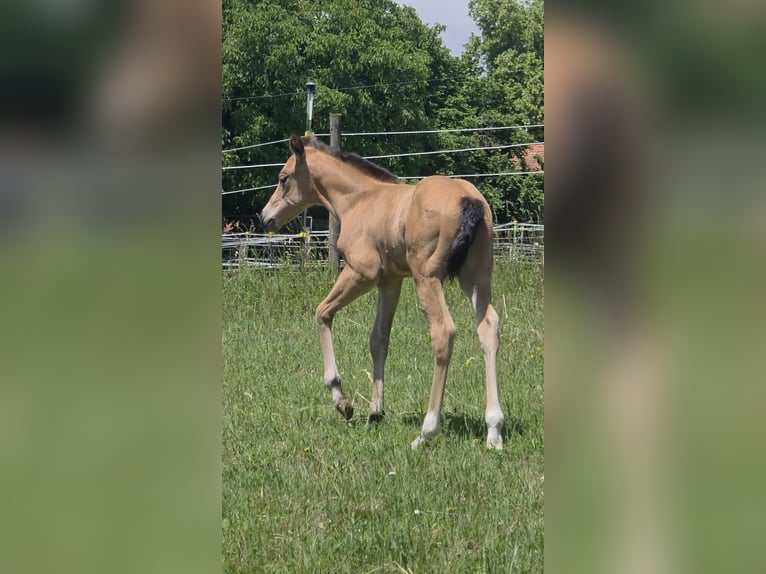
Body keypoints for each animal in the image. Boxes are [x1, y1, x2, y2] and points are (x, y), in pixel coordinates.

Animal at [260, 134, 505, 449]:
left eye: (283, 178)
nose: (265, 217)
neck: (360, 200)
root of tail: (469, 201)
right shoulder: (389, 281)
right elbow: (378, 339)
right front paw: (375, 412)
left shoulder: (361, 273)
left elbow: (322, 313)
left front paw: (342, 401)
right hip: (477, 277)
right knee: (487, 327)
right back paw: (494, 429)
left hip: (427, 277)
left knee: (443, 332)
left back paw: (426, 431)